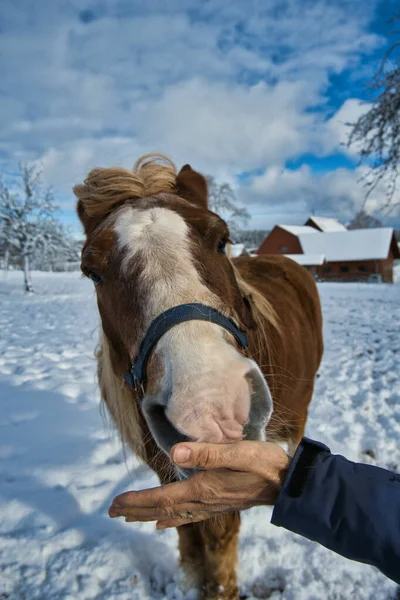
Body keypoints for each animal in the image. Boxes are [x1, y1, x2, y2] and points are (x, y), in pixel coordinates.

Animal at [75, 154, 324, 600]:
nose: (213, 411)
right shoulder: (169, 476)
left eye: (222, 239)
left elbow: (219, 547)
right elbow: (188, 536)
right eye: (92, 272)